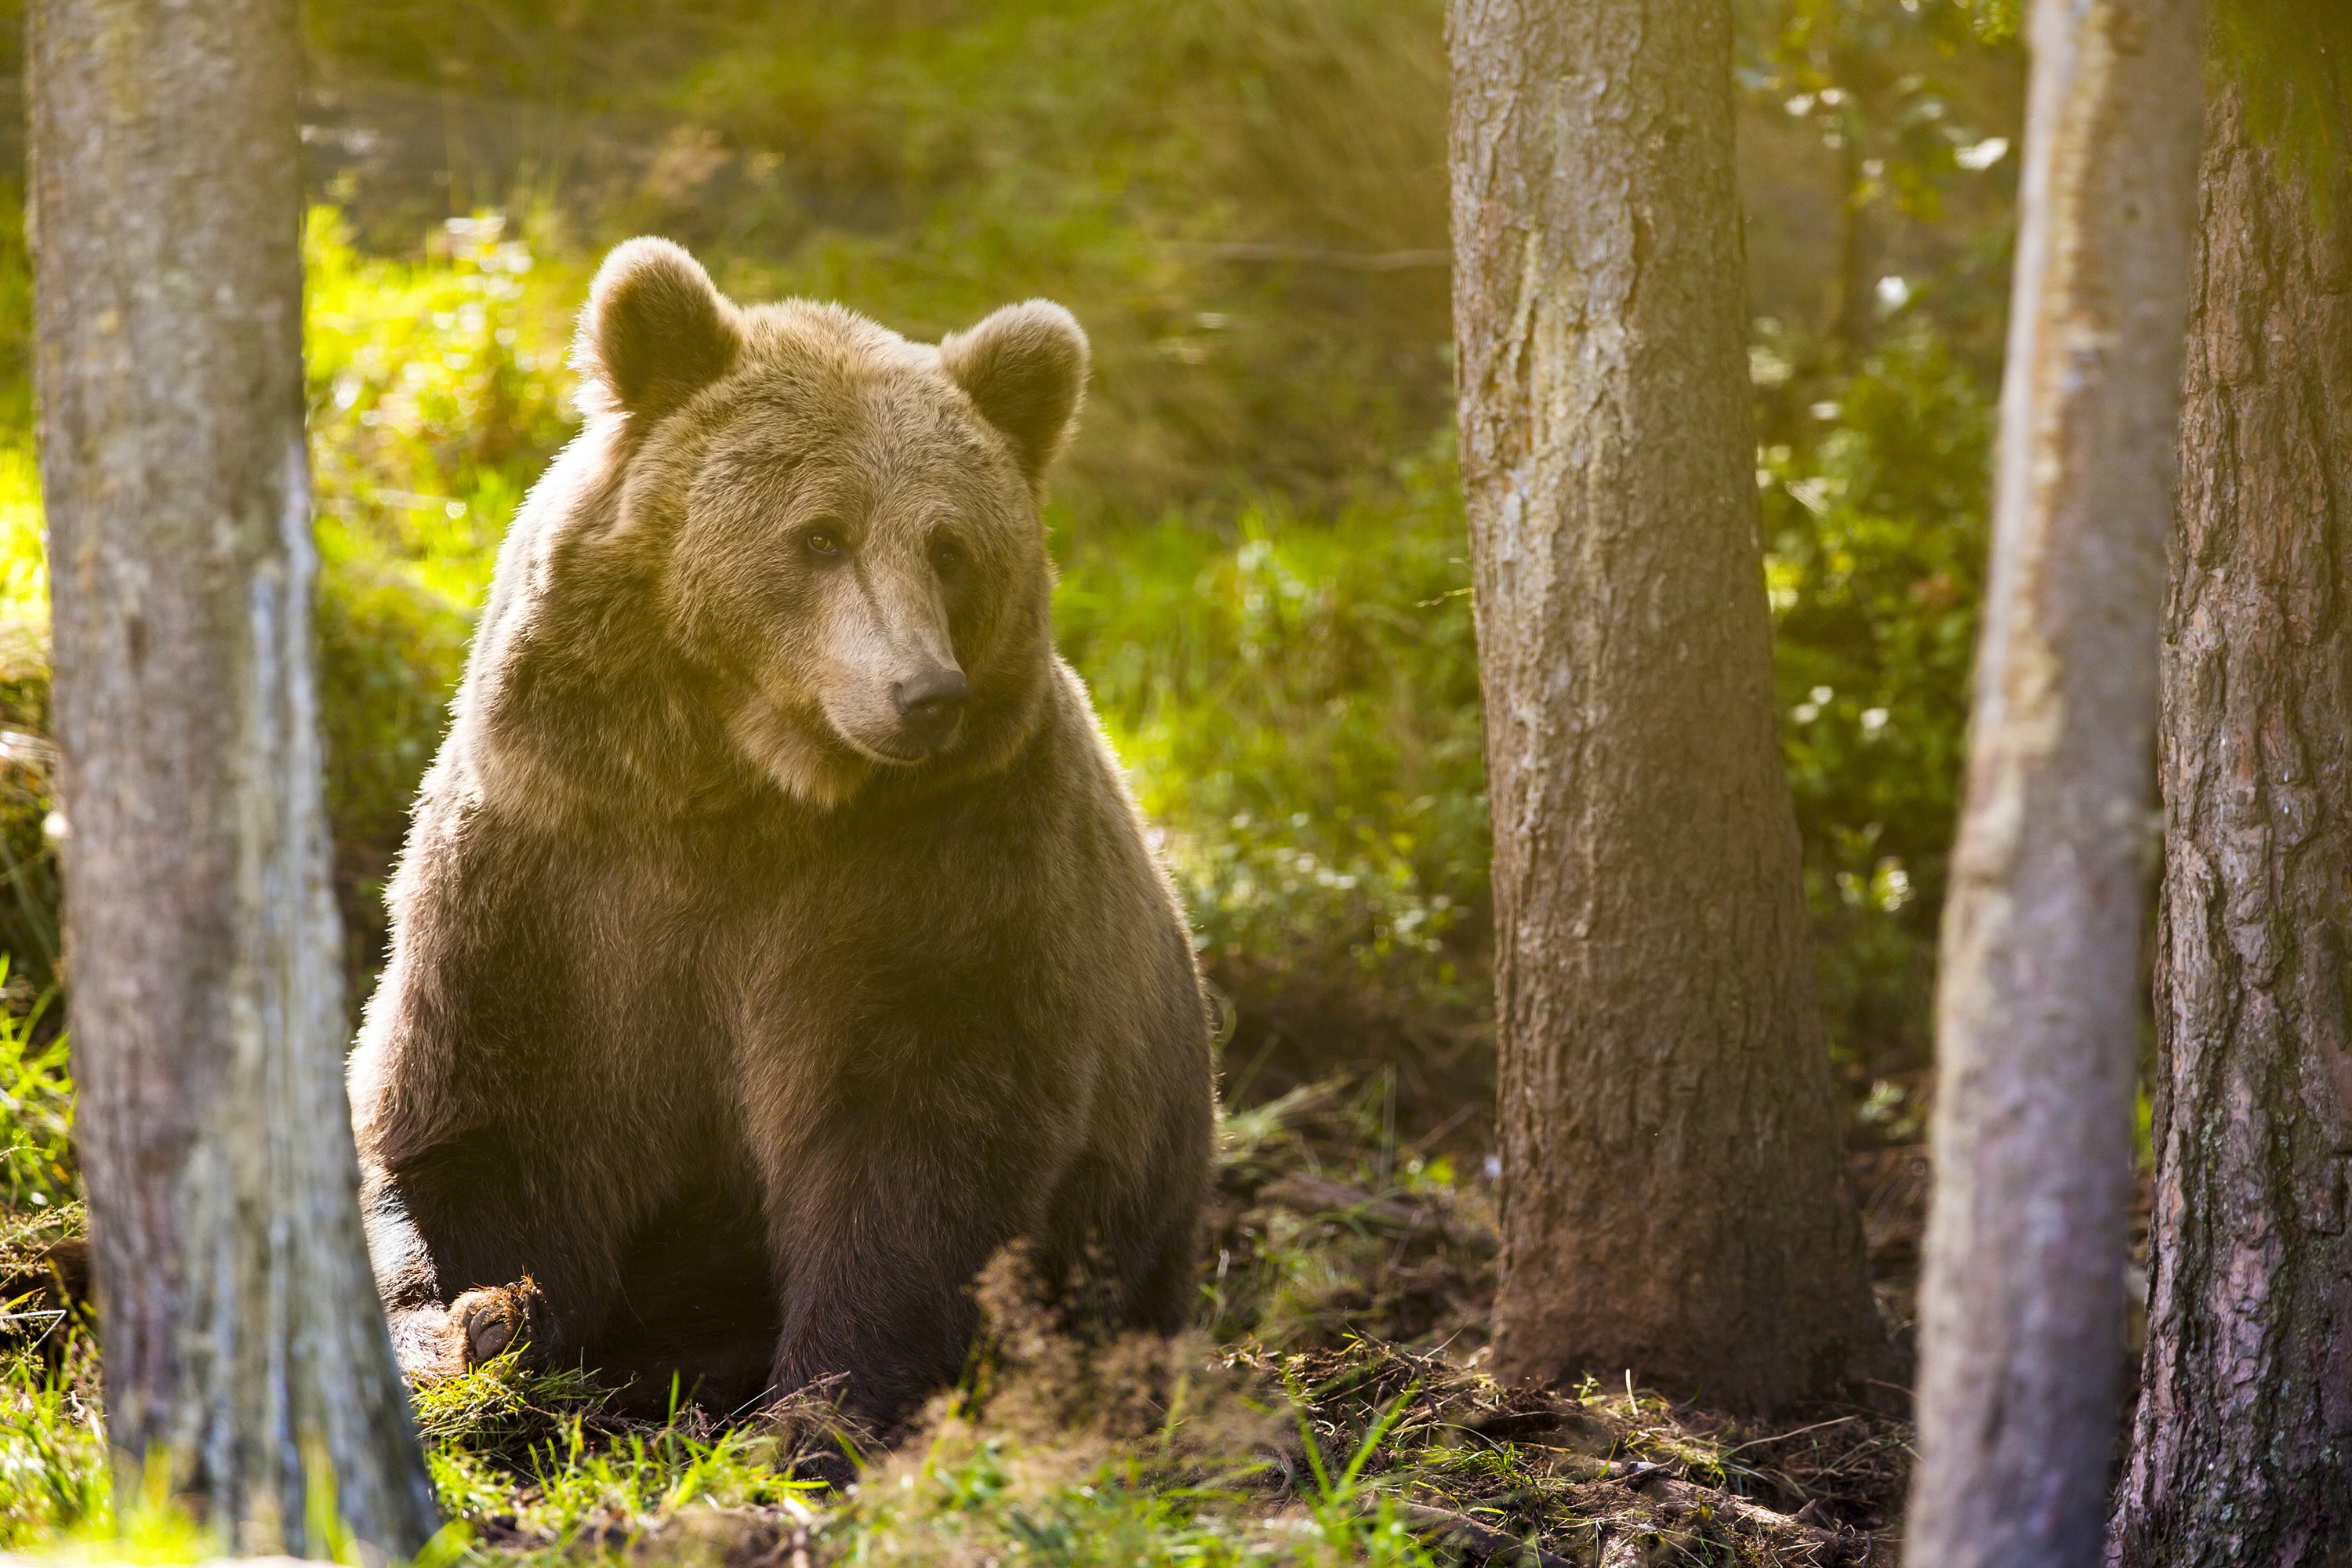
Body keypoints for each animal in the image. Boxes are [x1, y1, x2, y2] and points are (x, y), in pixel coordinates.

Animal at [345, 236, 1217, 1427]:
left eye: (950, 545)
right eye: (820, 534)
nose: (925, 693)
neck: (749, 793)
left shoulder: (947, 887)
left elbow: (913, 1162)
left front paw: (821, 1407)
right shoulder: (551, 867)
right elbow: (471, 1120)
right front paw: (472, 1321)